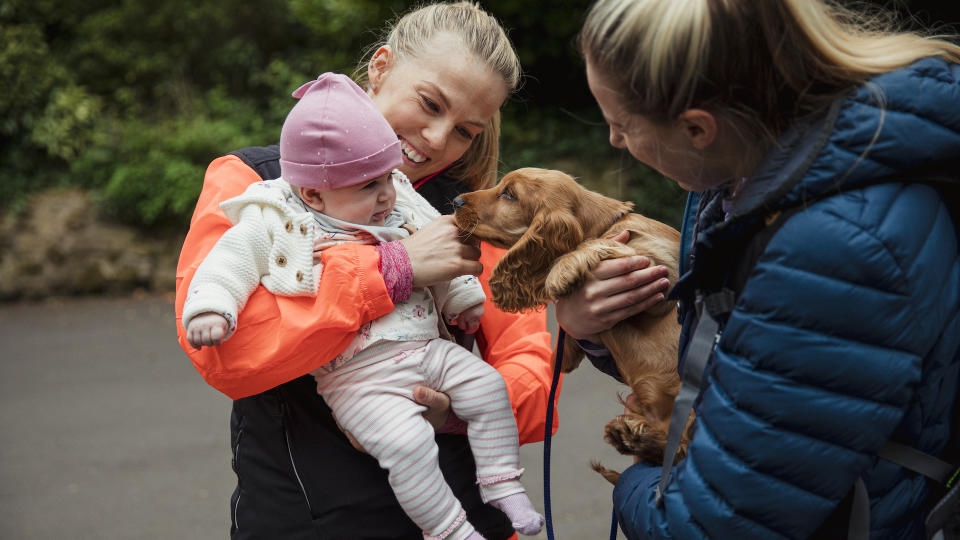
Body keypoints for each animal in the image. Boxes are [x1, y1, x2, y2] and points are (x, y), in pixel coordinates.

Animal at [454, 167, 692, 484]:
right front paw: (562, 355)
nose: (456, 201)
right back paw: (629, 434)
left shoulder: (660, 271)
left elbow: (595, 243)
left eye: (510, 194)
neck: (606, 224)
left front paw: (561, 271)